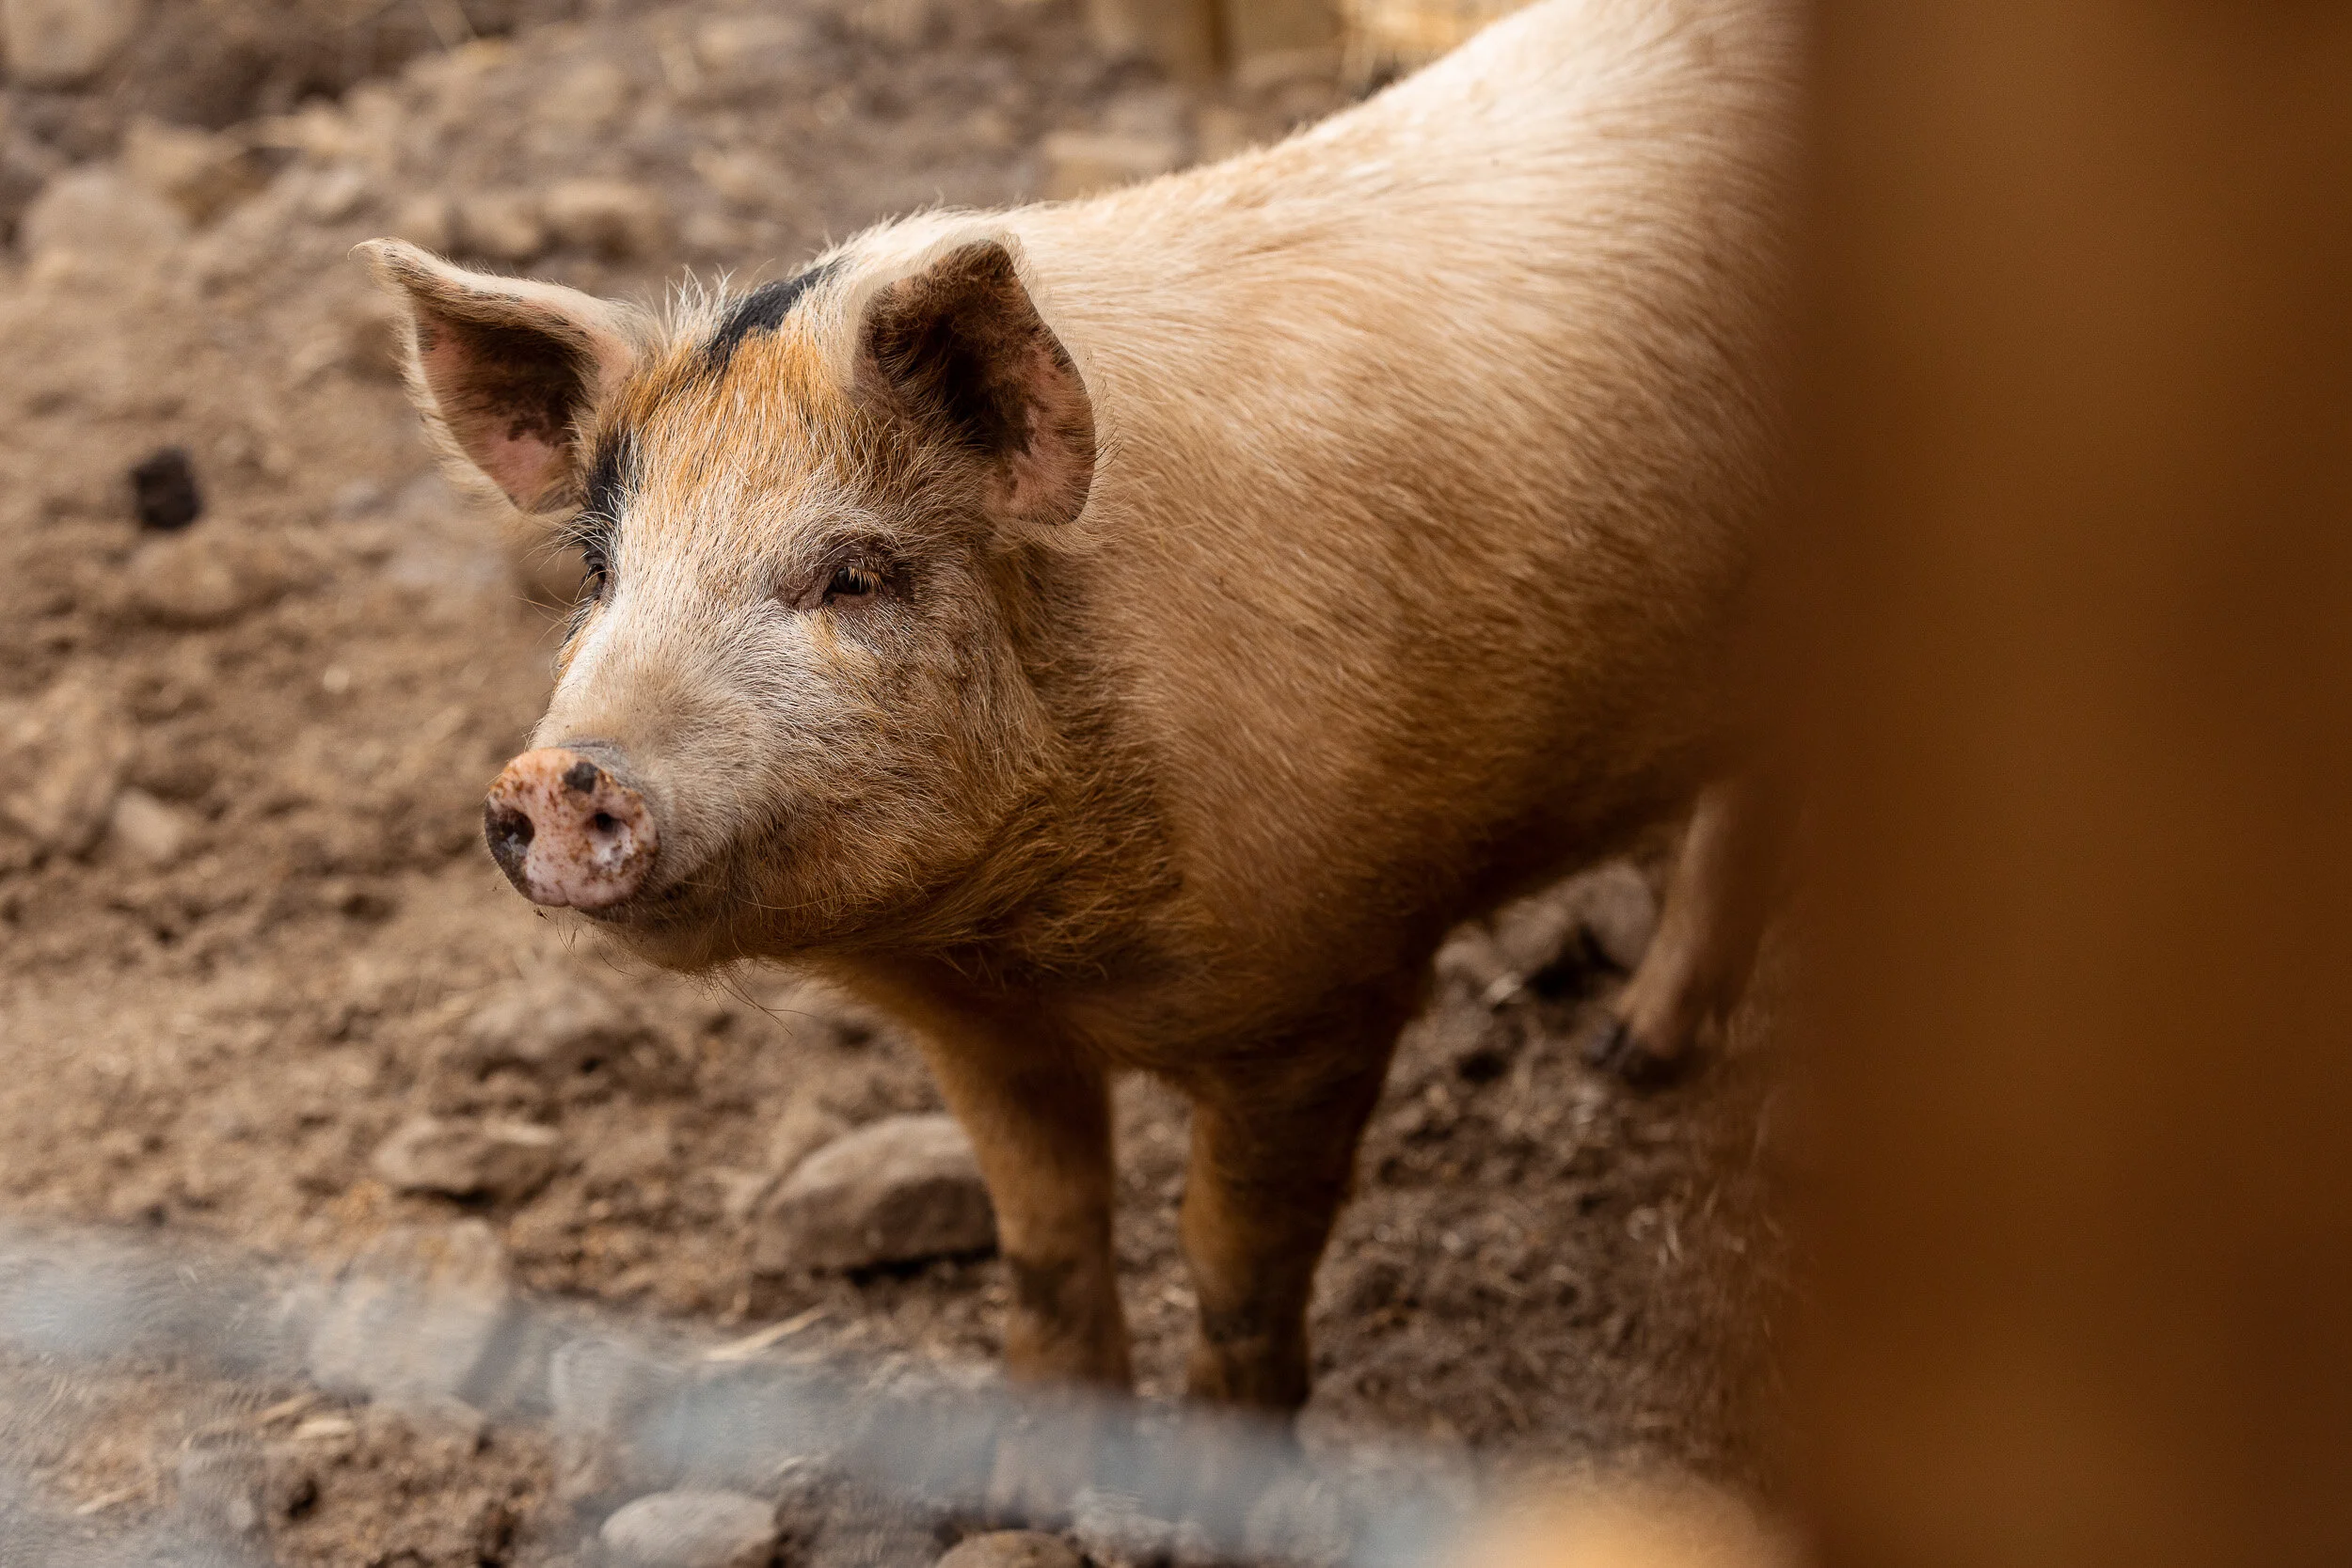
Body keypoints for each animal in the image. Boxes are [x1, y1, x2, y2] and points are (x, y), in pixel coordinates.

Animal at [362, 0, 1797, 1419]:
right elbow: (1045, 1234)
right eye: (600, 570)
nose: (555, 776)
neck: (1031, 942)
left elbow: (1237, 1265)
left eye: (853, 573)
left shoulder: (1334, 986)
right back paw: (1629, 1052)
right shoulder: (986, 1036)